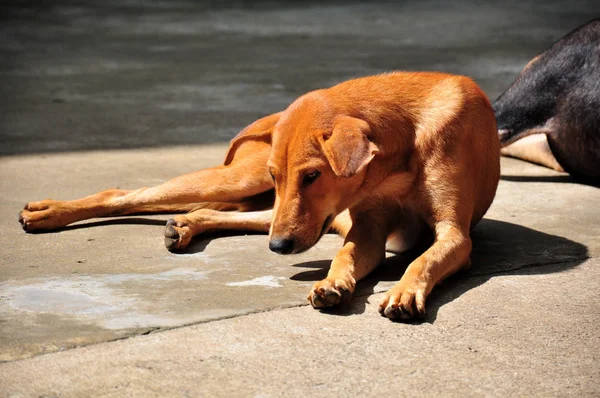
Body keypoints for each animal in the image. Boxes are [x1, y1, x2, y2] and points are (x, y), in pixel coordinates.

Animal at [18, 71, 500, 320]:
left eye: (312, 175)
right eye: (280, 173)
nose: (279, 249)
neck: (402, 141)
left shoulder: (455, 235)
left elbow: (423, 259)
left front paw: (400, 292)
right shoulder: (364, 229)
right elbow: (345, 256)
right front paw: (333, 282)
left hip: (281, 214)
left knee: (230, 215)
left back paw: (187, 226)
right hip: (243, 183)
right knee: (124, 192)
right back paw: (47, 212)